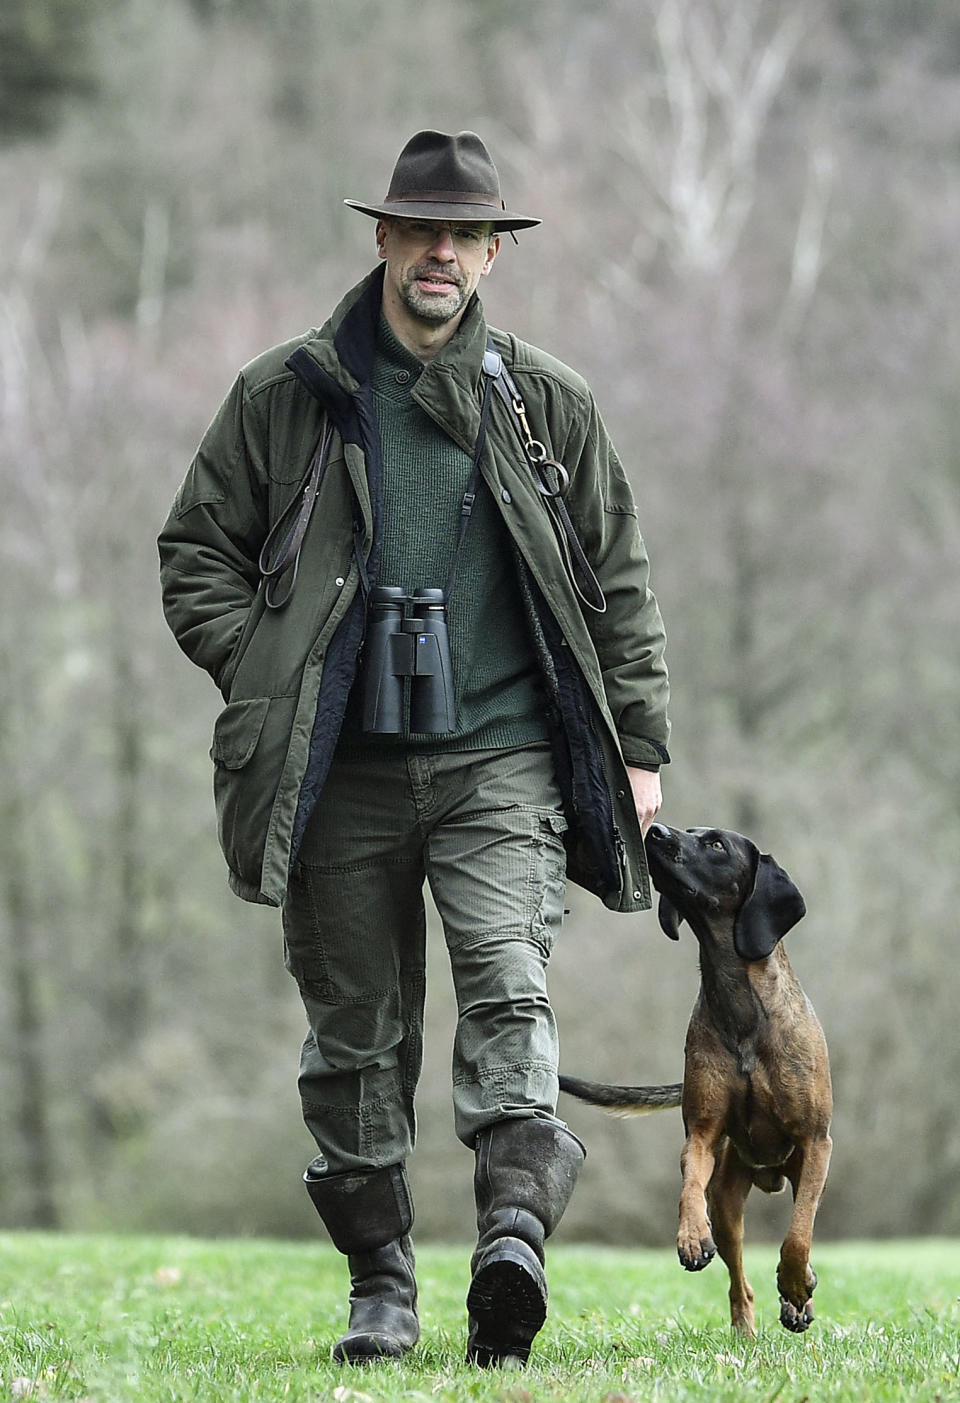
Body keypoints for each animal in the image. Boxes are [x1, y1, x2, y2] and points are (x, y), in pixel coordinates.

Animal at [561, 819, 830, 1335]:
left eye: (716, 844)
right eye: (687, 830)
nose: (655, 831)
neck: (738, 1001)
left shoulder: (816, 1143)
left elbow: (798, 1234)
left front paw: (795, 1285)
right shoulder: (702, 1134)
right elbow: (688, 1183)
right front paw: (689, 1236)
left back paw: (798, 1296)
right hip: (728, 1198)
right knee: (739, 1278)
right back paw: (745, 1330)